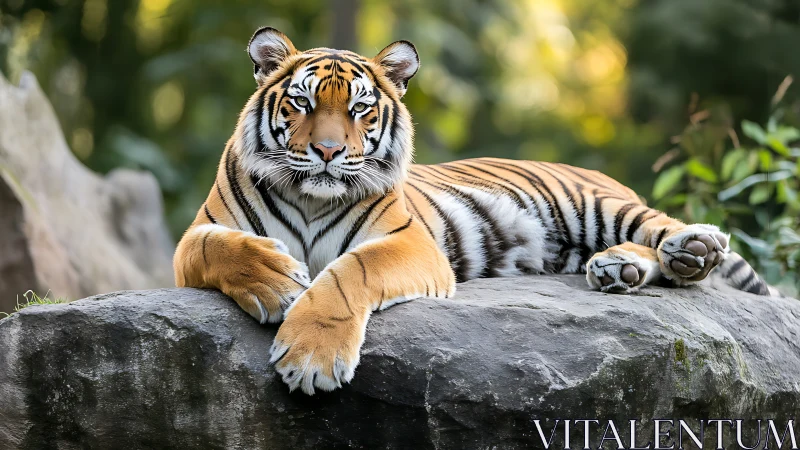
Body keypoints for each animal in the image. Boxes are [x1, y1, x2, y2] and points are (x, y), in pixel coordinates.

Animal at [174, 27, 778, 395]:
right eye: (301, 102)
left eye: (360, 109)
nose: (327, 151)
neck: (310, 194)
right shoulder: (196, 235)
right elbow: (219, 248)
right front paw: (278, 282)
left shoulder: (408, 241)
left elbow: (348, 273)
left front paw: (310, 358)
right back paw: (619, 268)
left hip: (592, 203)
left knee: (664, 229)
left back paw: (689, 248)